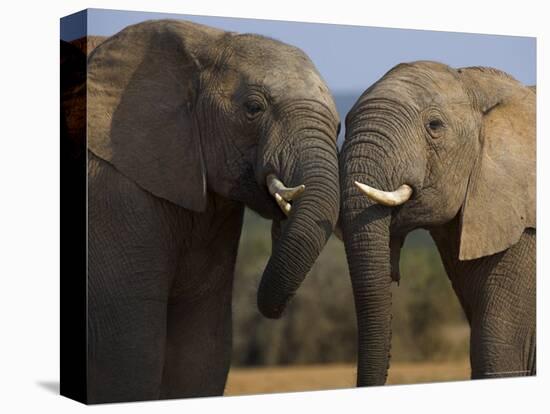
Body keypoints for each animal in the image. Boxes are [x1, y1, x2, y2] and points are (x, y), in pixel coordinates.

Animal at [85, 20, 340, 404]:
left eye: (339, 126)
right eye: (253, 108)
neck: (207, 41)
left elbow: (202, 348)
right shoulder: (111, 190)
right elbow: (130, 351)